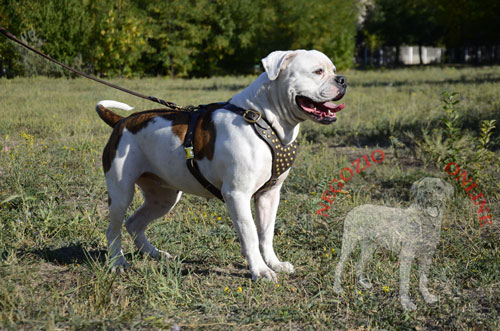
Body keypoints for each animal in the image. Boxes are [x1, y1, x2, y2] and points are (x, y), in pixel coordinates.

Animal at [95, 50, 346, 282]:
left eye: (333, 70)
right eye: (318, 72)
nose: (342, 79)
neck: (263, 119)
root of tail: (121, 121)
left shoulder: (270, 194)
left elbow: (266, 233)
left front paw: (273, 263)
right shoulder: (237, 194)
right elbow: (250, 233)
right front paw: (260, 270)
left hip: (163, 198)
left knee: (134, 223)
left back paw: (155, 253)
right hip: (121, 193)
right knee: (114, 229)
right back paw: (117, 262)